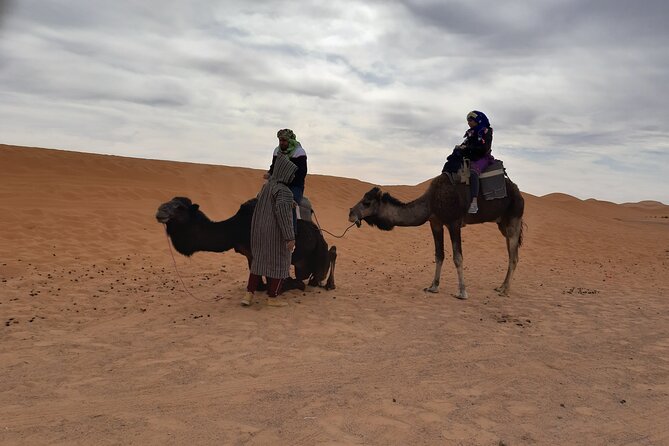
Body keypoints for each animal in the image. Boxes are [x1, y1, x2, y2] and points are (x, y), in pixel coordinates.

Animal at [155, 197, 334, 290]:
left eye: (179, 207)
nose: (160, 211)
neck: (237, 228)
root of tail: (317, 232)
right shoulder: (249, 255)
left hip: (320, 251)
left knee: (330, 254)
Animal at [348, 175, 524, 300]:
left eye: (366, 202)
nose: (350, 213)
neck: (430, 204)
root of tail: (518, 192)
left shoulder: (453, 223)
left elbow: (458, 257)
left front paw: (462, 292)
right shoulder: (435, 223)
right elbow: (439, 255)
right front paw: (433, 287)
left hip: (514, 217)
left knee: (514, 257)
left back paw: (505, 291)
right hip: (502, 223)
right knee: (511, 253)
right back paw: (501, 286)